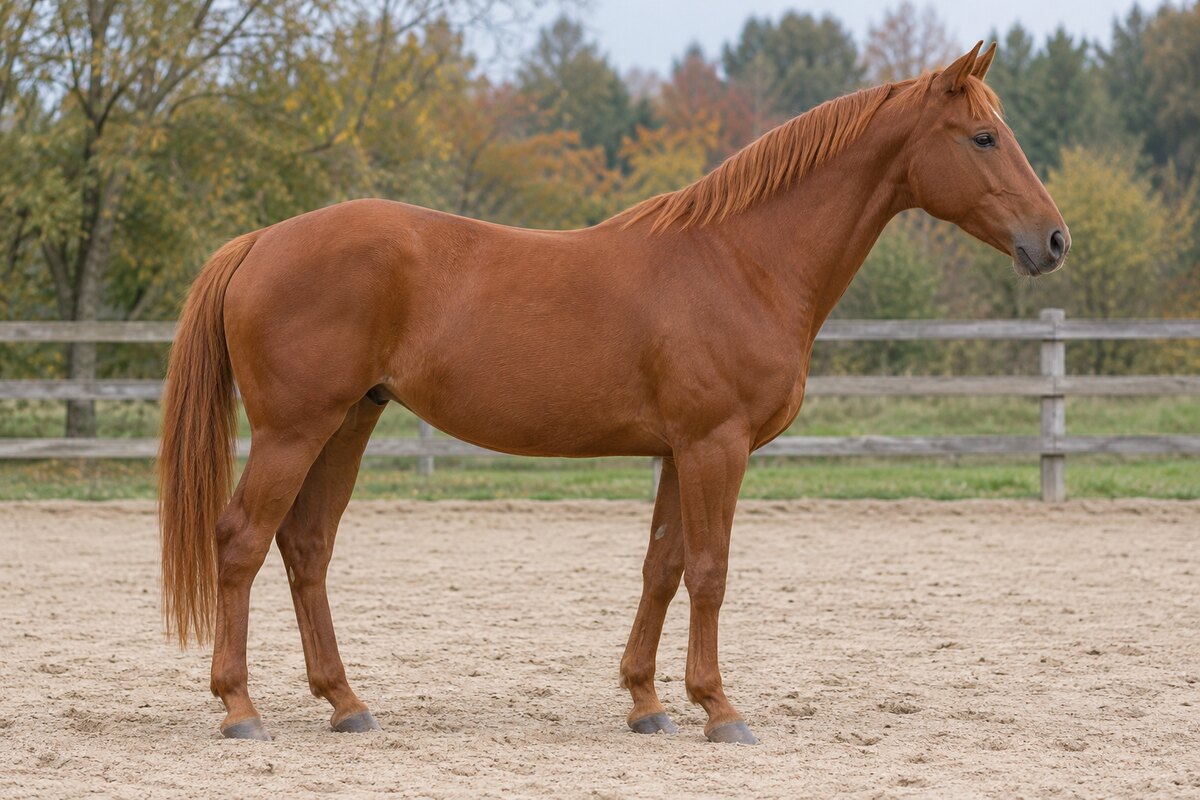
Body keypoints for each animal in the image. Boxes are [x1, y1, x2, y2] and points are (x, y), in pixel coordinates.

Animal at [158, 42, 1068, 744]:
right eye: (984, 136)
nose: (1053, 240)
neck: (742, 260)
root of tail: (260, 241)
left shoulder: (678, 450)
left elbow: (661, 567)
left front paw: (647, 702)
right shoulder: (715, 445)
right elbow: (709, 570)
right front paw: (719, 709)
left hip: (348, 422)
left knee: (307, 546)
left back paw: (346, 703)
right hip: (293, 430)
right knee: (241, 540)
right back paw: (240, 710)